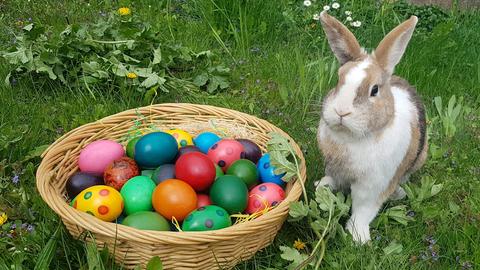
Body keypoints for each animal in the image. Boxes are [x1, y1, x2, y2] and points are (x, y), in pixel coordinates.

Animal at [316, 11, 428, 244]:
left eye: (374, 90)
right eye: (338, 80)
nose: (341, 111)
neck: (353, 138)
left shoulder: (374, 185)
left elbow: (363, 209)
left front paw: (359, 237)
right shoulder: (333, 167)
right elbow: (331, 178)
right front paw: (321, 188)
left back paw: (399, 193)